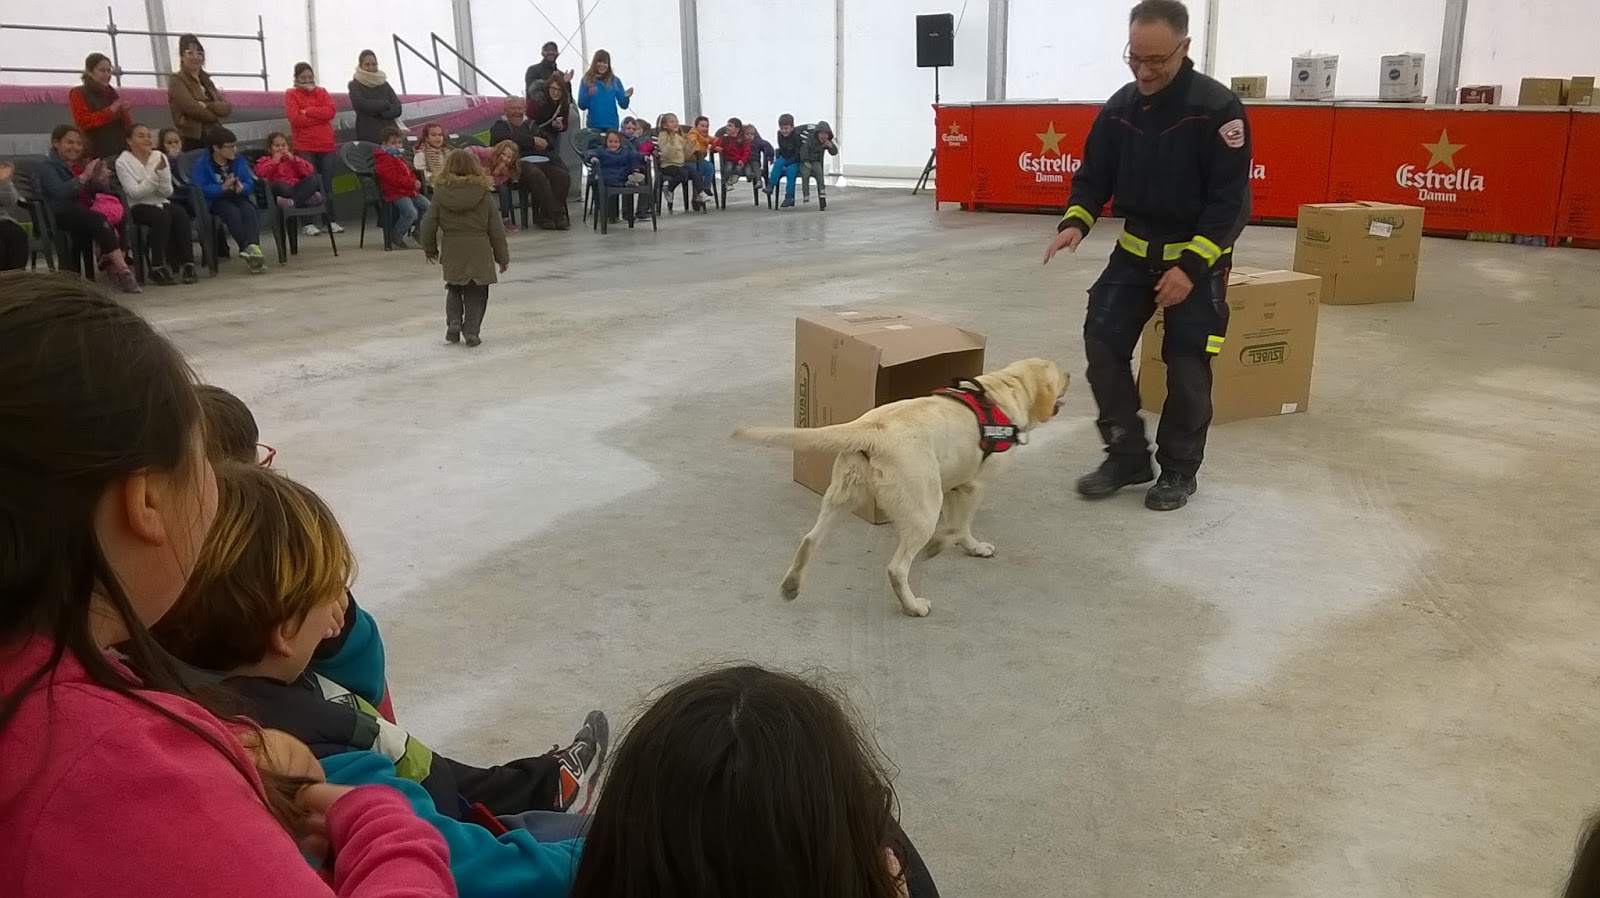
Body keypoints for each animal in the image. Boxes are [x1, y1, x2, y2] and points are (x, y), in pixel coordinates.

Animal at [732, 356, 1062, 614]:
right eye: (1064, 376)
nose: (1071, 377)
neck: (1007, 387)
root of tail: (871, 429)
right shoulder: (973, 486)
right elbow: (960, 527)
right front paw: (951, 545)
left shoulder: (954, 487)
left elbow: (959, 526)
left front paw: (965, 544)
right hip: (924, 510)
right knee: (897, 568)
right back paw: (913, 605)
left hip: (842, 495)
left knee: (809, 539)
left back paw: (791, 586)